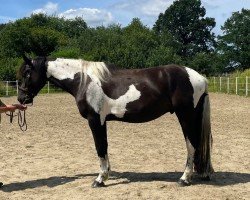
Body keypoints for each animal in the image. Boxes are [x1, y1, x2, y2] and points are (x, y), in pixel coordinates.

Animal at [18, 55, 213, 188]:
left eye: (27, 73)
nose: (21, 99)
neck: (83, 81)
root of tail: (199, 78)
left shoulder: (95, 120)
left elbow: (100, 147)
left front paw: (100, 179)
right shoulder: (102, 121)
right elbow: (104, 147)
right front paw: (104, 176)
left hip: (186, 115)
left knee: (191, 144)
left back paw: (184, 178)